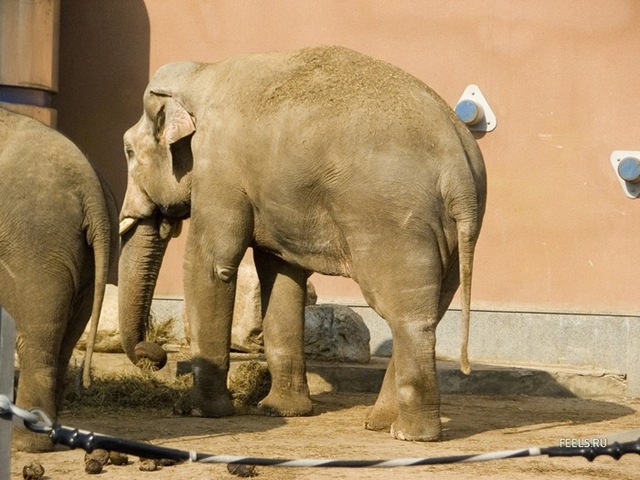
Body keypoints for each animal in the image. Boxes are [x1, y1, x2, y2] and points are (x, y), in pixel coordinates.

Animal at [0, 107, 118, 452]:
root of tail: (88, 182)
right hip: (91, 257)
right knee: (67, 336)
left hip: (36, 244)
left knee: (38, 338)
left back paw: (29, 442)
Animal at [118, 45, 486, 442]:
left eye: (127, 152)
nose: (155, 355)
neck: (201, 73)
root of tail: (459, 169)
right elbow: (281, 275)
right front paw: (280, 411)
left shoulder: (218, 168)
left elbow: (211, 264)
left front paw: (196, 411)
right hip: (453, 233)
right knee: (429, 311)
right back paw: (379, 423)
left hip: (393, 219)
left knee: (405, 315)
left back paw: (409, 434)